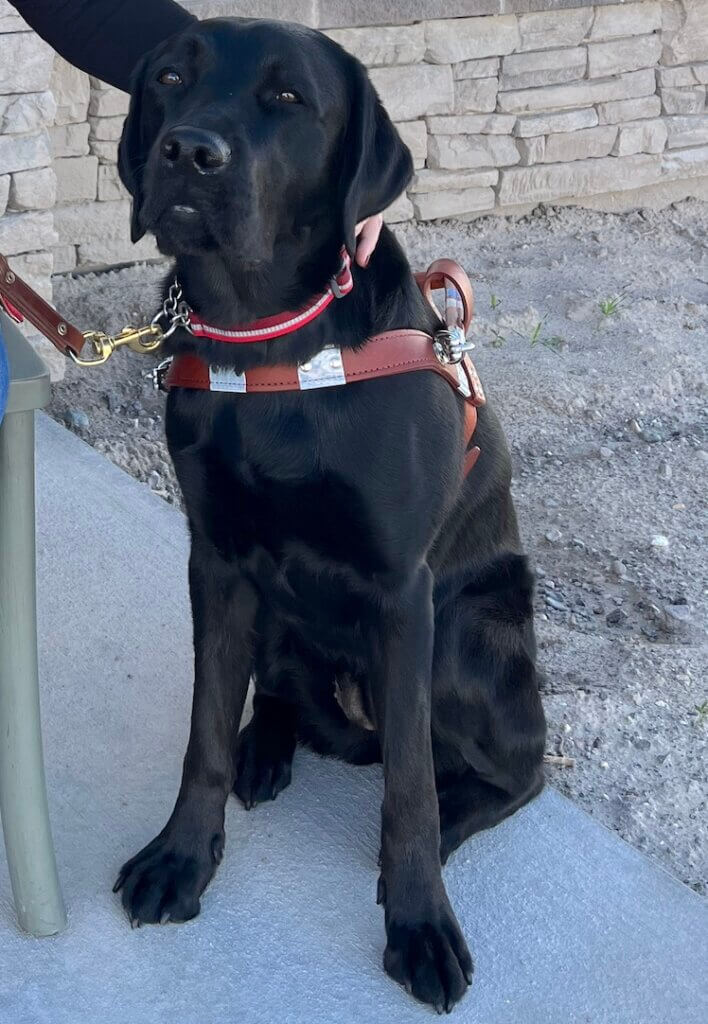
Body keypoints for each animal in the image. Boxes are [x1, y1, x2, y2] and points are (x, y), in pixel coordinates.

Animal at [116, 18, 549, 1015]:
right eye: (169, 78)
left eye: (288, 99)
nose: (189, 152)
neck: (266, 340)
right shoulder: (217, 562)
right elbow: (202, 732)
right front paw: (182, 858)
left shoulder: (403, 592)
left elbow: (411, 792)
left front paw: (420, 921)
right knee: (279, 693)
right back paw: (266, 747)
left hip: (466, 638)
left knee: (513, 768)